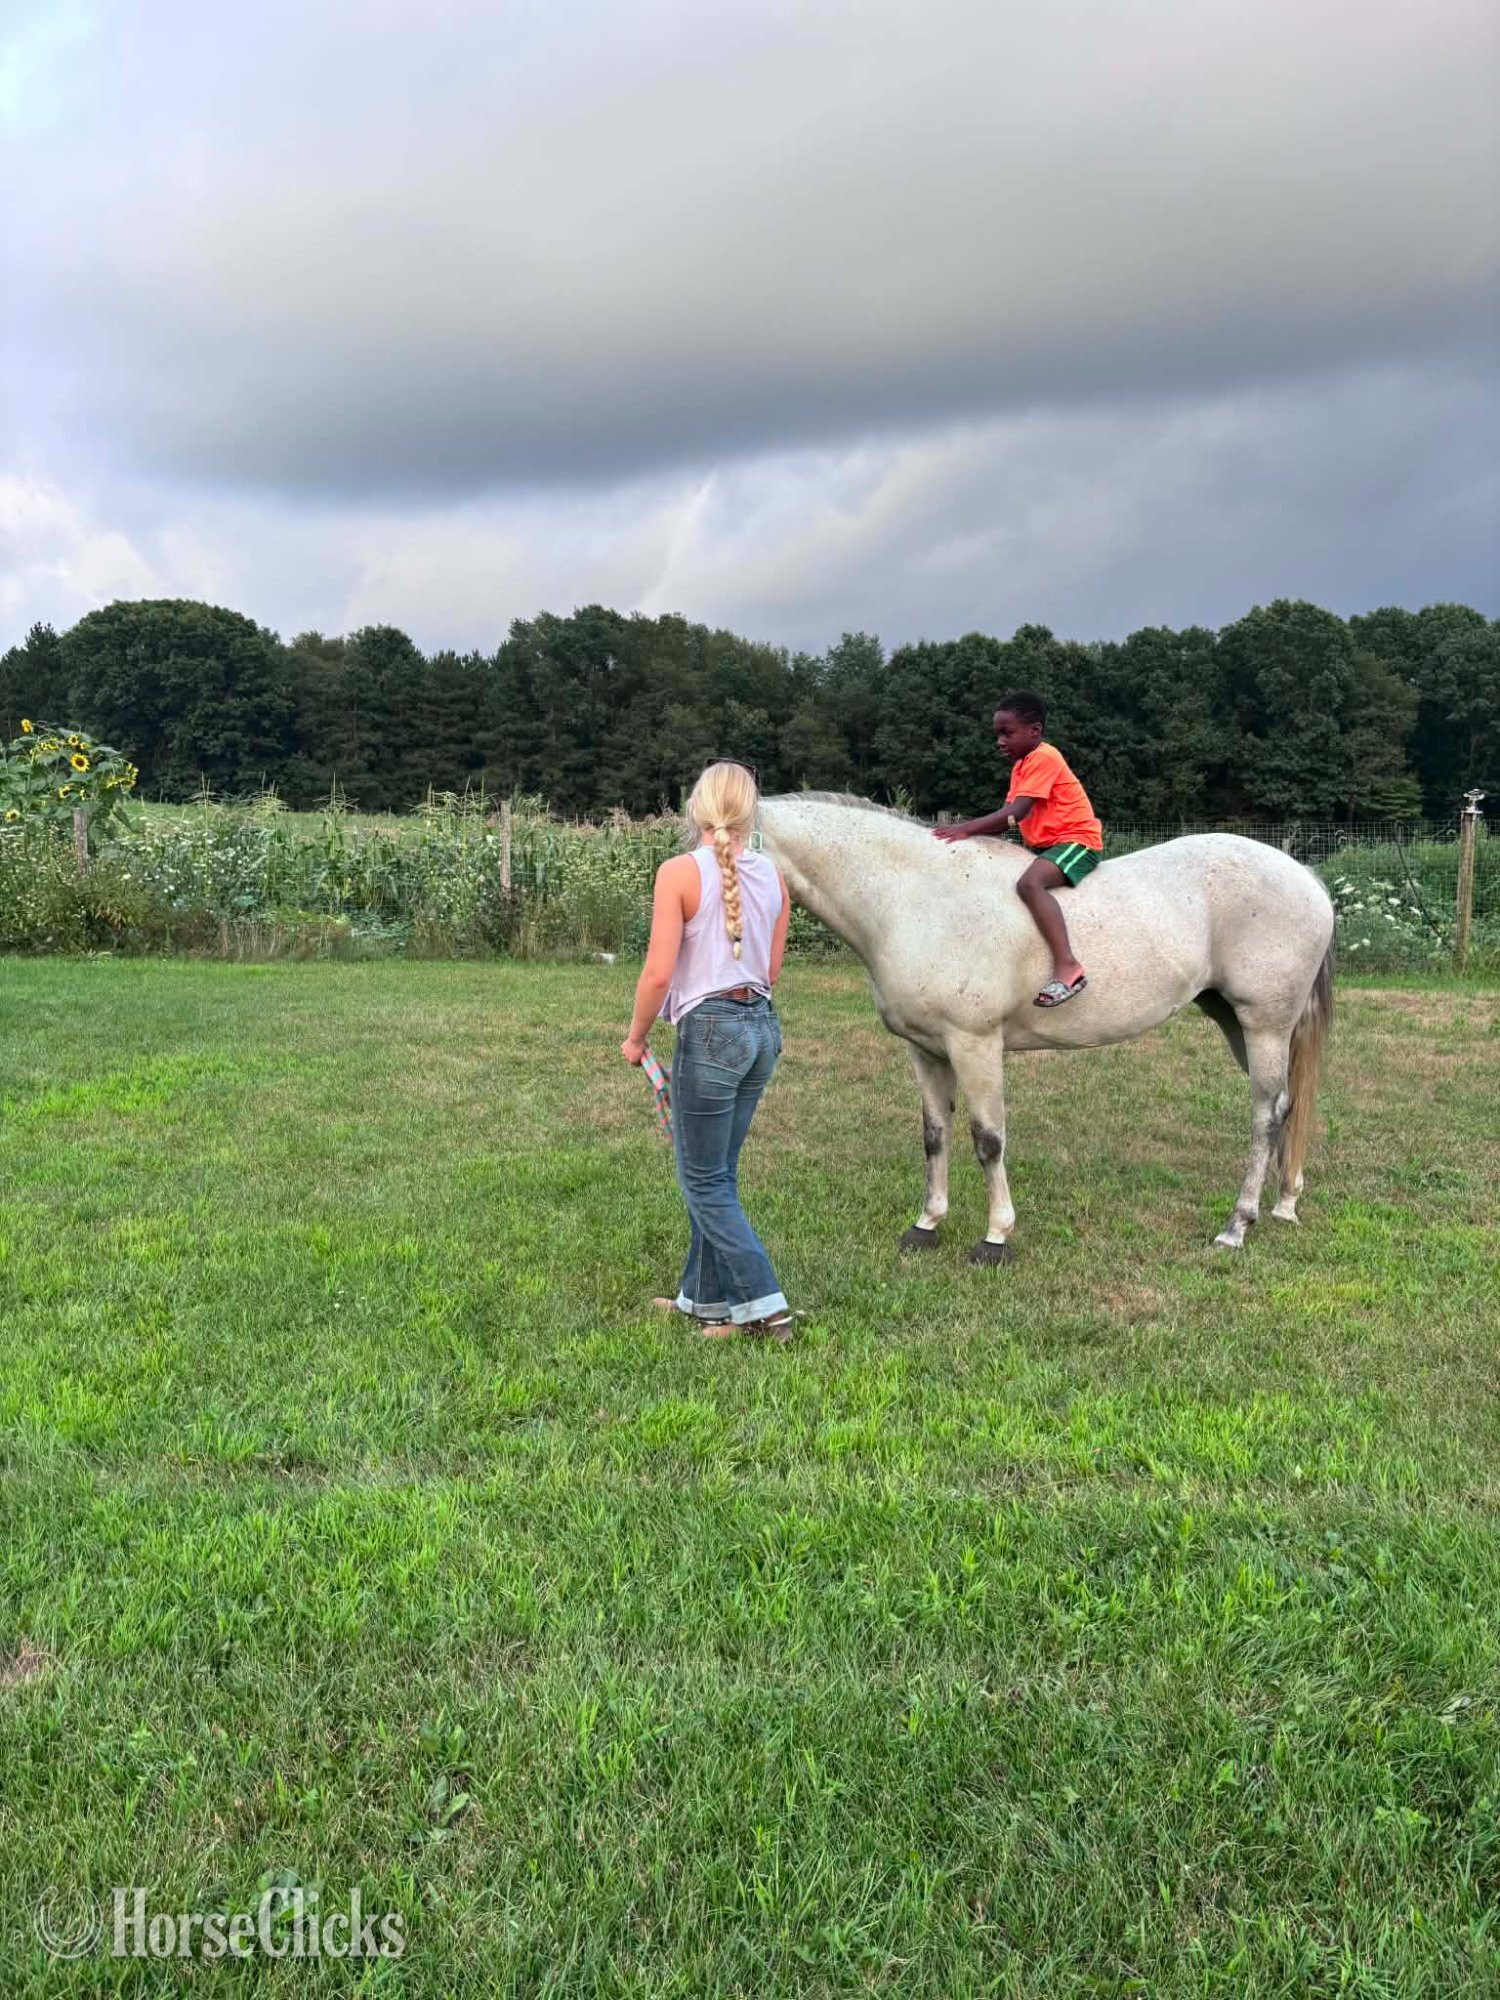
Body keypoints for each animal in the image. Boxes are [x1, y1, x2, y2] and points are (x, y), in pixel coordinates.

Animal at [756, 795, 1334, 1260]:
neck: (917, 897)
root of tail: (1305, 878)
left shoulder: (975, 1045)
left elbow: (988, 1139)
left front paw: (995, 1237)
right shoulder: (927, 1050)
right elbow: (934, 1137)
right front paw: (926, 1226)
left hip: (1264, 1024)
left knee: (1264, 1115)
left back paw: (1236, 1226)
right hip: (1236, 1022)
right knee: (1286, 1107)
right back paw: (1283, 1203)